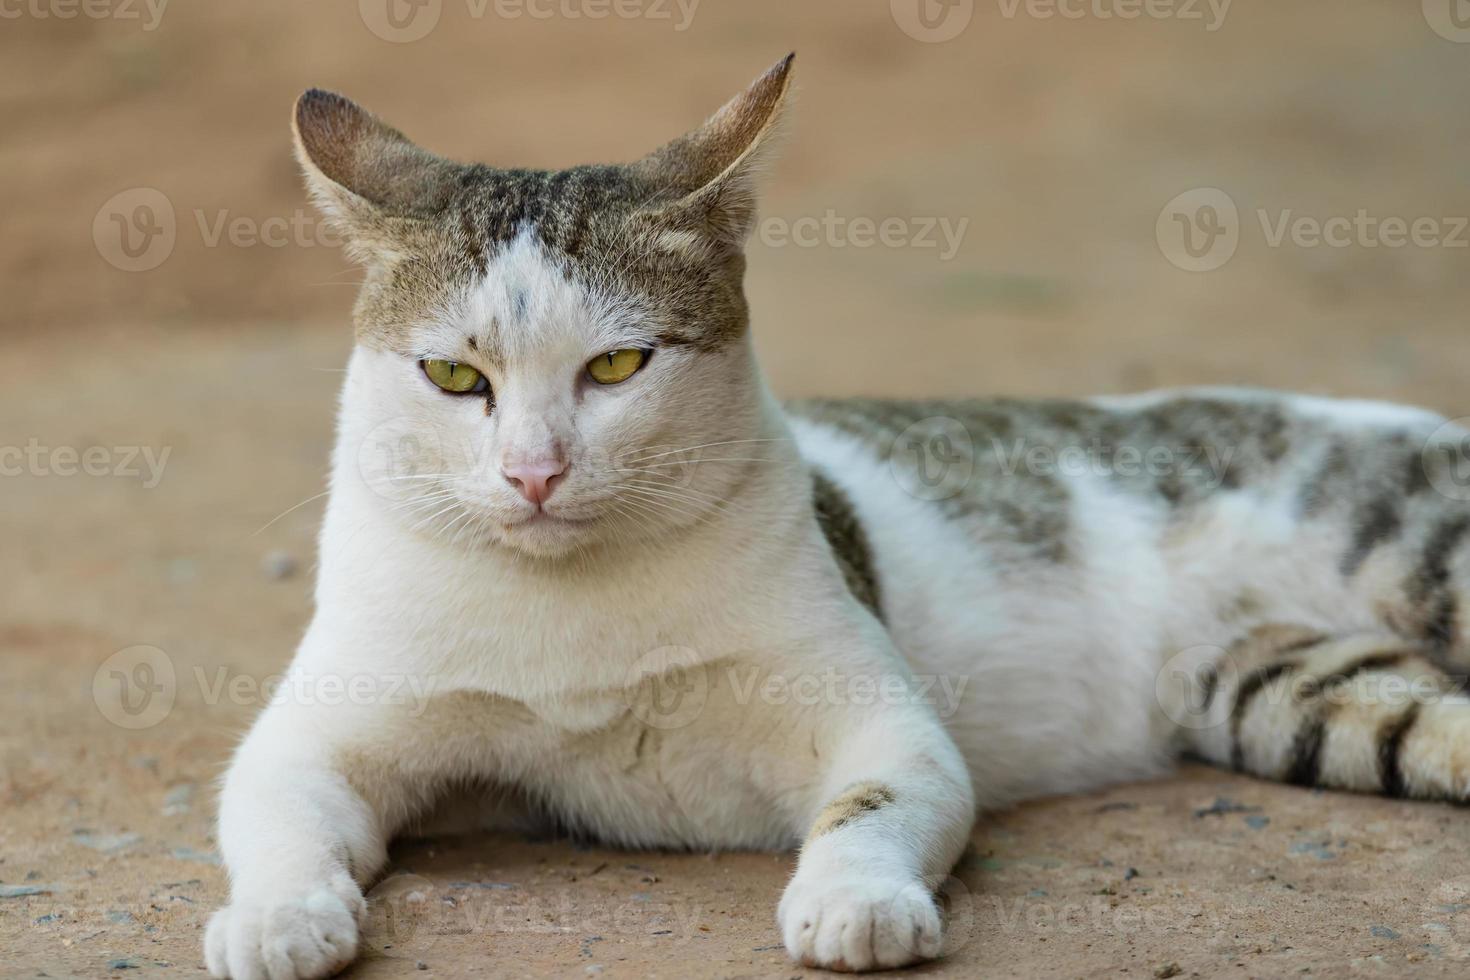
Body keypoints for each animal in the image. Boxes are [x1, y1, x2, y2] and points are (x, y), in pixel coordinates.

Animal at [210, 55, 1470, 980]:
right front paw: (275, 917)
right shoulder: (316, 732)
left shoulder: (883, 719)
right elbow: (274, 813)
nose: (533, 473)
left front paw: (855, 903)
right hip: (1301, 694)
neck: (574, 606)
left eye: (615, 365)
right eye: (454, 377)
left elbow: (867, 806)